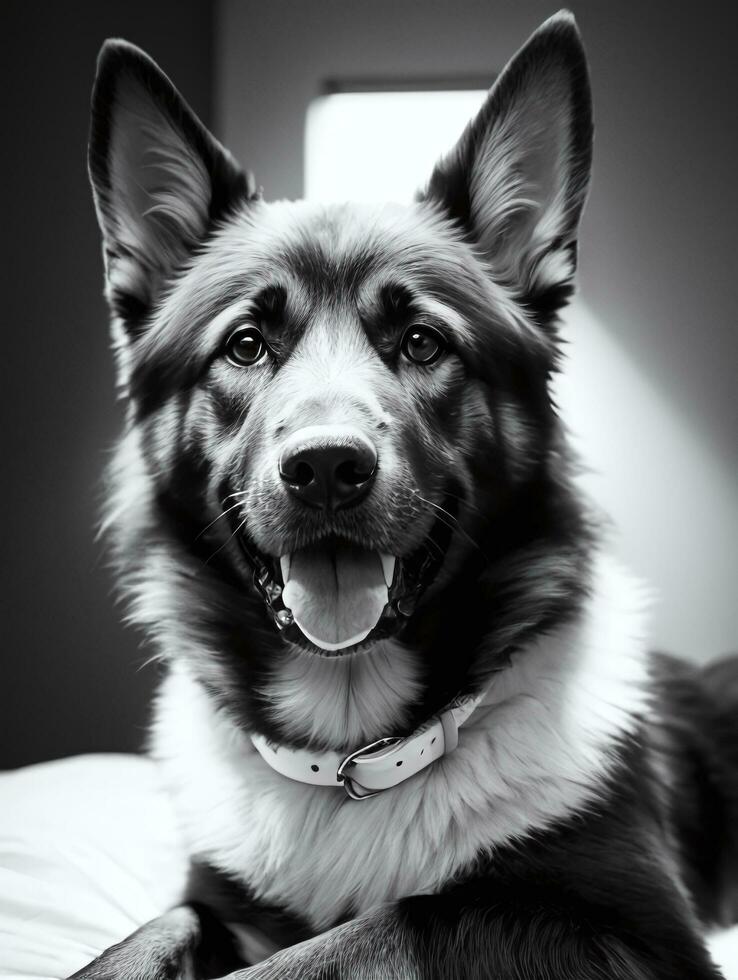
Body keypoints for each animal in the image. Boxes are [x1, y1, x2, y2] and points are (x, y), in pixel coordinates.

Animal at [73, 9, 736, 980]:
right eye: (244, 345)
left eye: (423, 342)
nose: (325, 469)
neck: (355, 760)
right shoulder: (215, 902)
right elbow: (146, 936)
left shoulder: (633, 937)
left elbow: (381, 926)